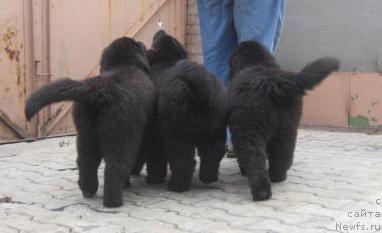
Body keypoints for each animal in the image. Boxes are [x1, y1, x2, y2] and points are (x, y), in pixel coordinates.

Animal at [25, 36, 155, 208]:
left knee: (86, 161)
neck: (123, 64)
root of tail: (98, 90)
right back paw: (113, 201)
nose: (143, 43)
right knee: (115, 166)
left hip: (85, 133)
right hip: (121, 136)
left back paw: (88, 190)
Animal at [145, 30, 225, 191]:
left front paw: (153, 179)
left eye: (157, 40)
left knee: (184, 161)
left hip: (178, 134)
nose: (161, 30)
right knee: (213, 153)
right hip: (215, 129)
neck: (165, 61)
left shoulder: (155, 136)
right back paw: (208, 178)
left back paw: (176, 186)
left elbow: (156, 159)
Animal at [228, 41, 338, 201]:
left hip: (249, 129)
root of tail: (271, 83)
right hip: (287, 129)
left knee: (254, 158)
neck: (256, 63)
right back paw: (278, 177)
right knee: (283, 154)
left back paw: (261, 192)